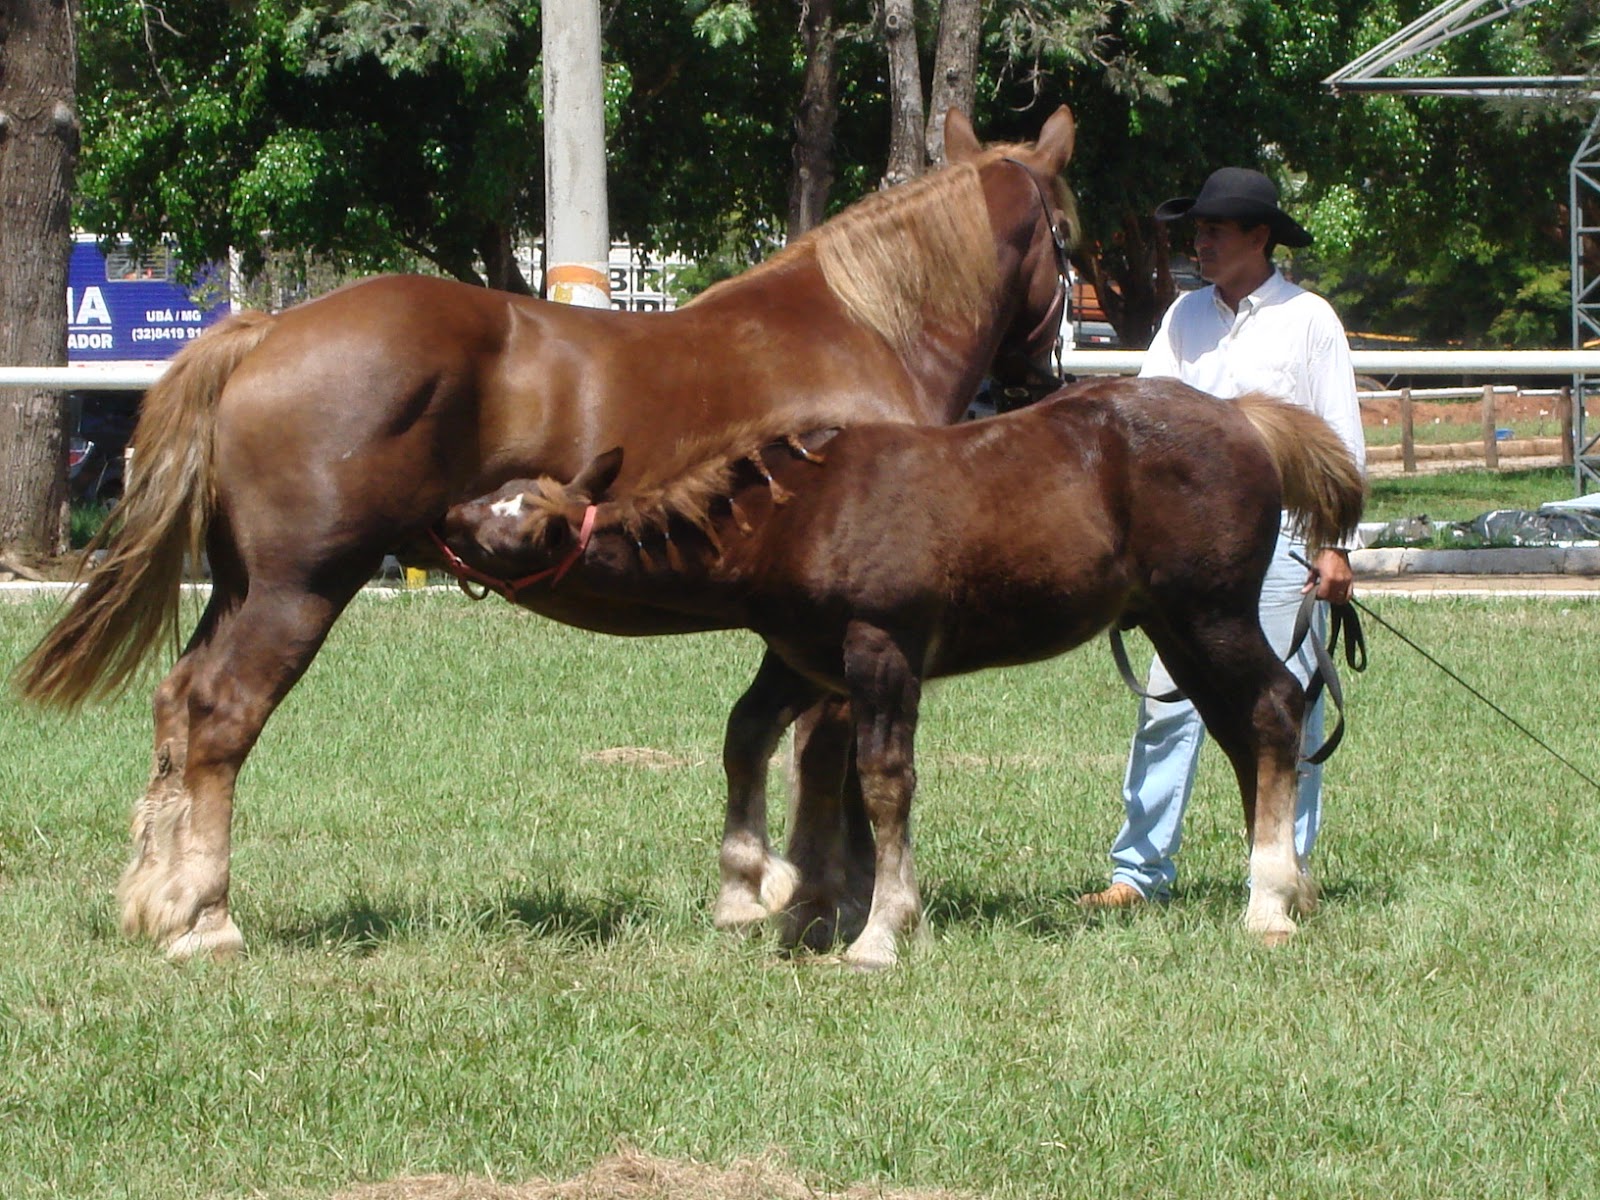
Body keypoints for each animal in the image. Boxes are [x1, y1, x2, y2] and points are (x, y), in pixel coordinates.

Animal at [15, 107, 1078, 960]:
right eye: (1069, 236)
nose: (1043, 377)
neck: (865, 330)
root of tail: (266, 331)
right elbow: (832, 764)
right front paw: (835, 903)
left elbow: (773, 742)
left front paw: (775, 890)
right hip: (297, 593)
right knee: (221, 719)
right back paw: (208, 917)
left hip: (240, 590)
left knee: (177, 704)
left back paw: (158, 897)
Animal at [437, 377, 1366, 969]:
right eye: (493, 498)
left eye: (518, 530)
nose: (445, 517)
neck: (797, 515)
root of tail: (1244, 416)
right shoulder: (804, 658)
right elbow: (758, 744)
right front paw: (757, 896)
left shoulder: (879, 648)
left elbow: (883, 782)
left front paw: (880, 931)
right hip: (1174, 628)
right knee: (1242, 731)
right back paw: (1291, 888)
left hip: (1210, 613)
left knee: (1276, 710)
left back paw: (1269, 901)